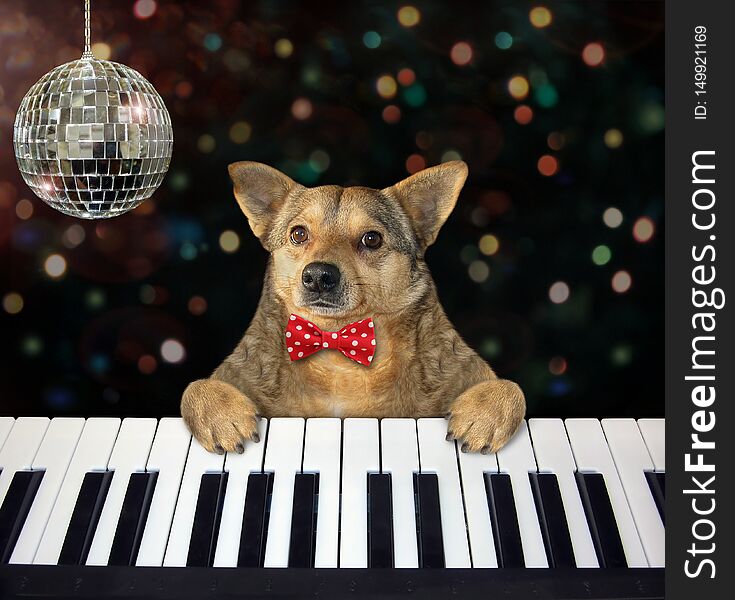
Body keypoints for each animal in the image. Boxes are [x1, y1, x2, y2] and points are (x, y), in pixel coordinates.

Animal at [181, 159, 528, 454]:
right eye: (298, 234)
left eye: (372, 239)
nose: (318, 276)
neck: (338, 349)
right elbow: (194, 388)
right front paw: (224, 419)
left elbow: (512, 389)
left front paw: (480, 419)